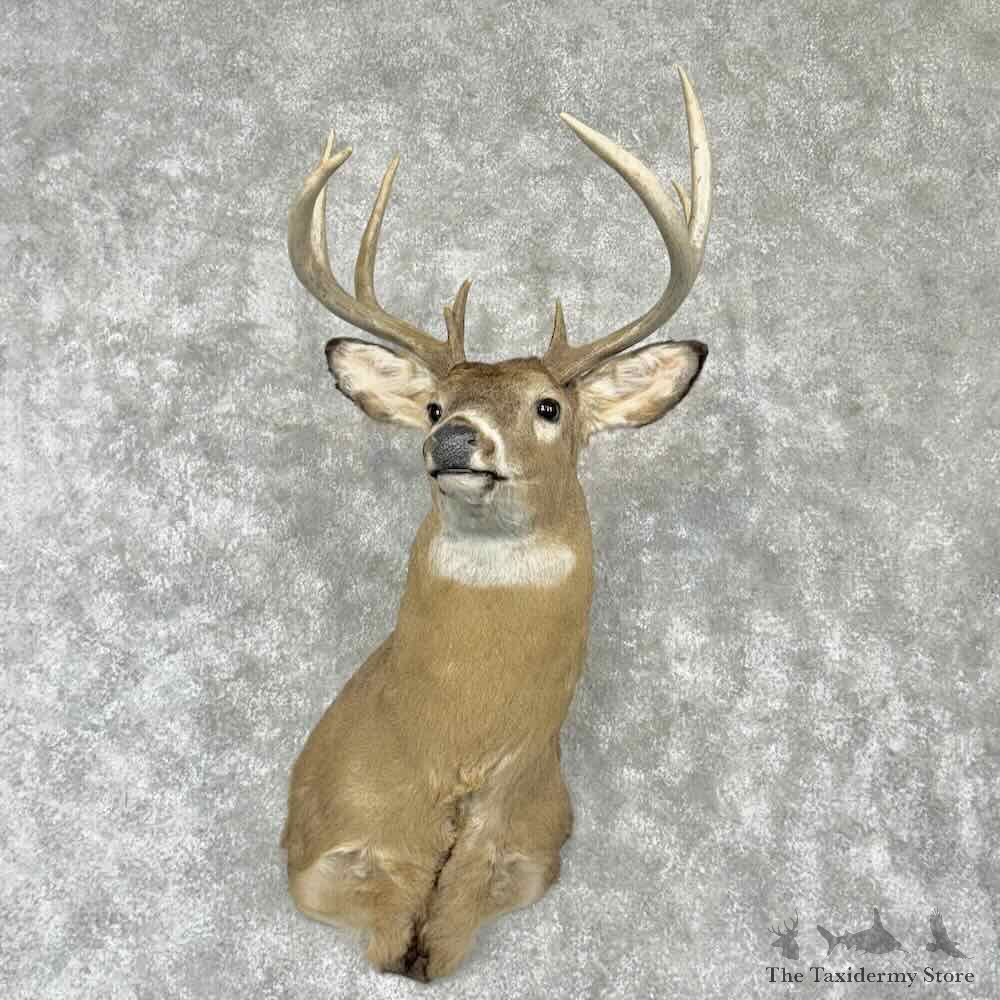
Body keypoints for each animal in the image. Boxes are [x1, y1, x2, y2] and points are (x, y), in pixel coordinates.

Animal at [280, 65, 713, 982]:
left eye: (549, 406)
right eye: (432, 404)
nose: (452, 437)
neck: (454, 771)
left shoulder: (532, 855)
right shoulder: (321, 854)